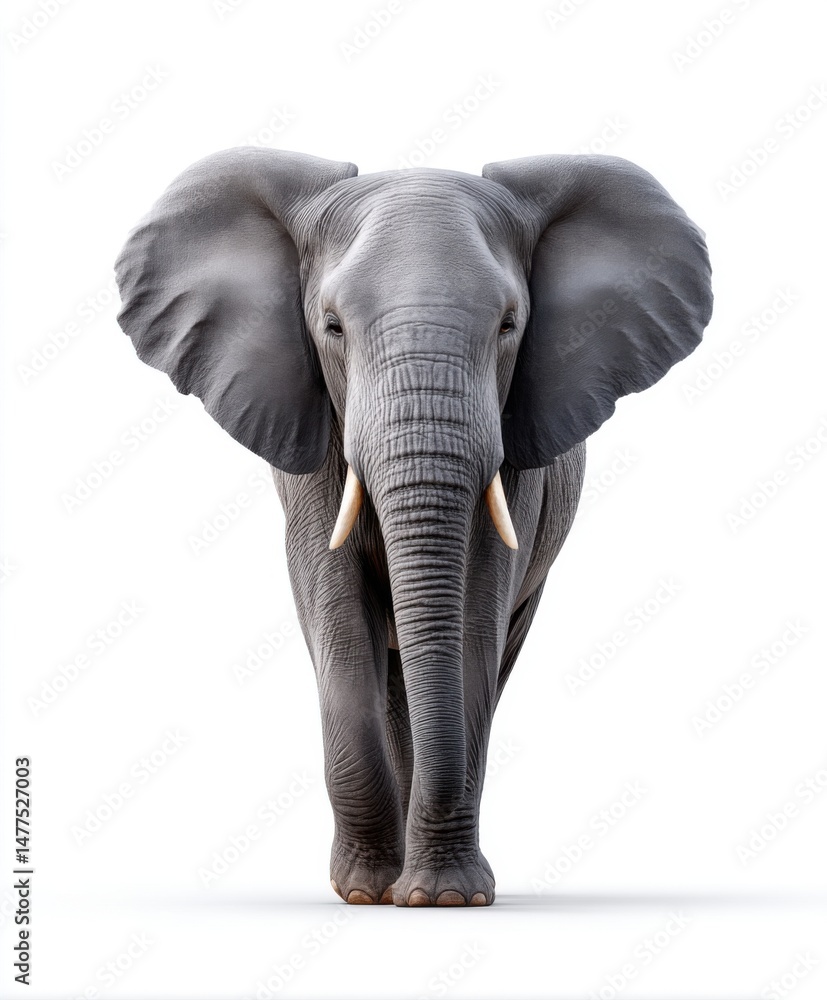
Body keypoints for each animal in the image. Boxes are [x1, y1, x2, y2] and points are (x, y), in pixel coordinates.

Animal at [114, 147, 712, 907]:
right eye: (332, 326)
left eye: (508, 325)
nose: (407, 891)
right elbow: (339, 619)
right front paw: (366, 893)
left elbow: (474, 621)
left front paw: (446, 898)